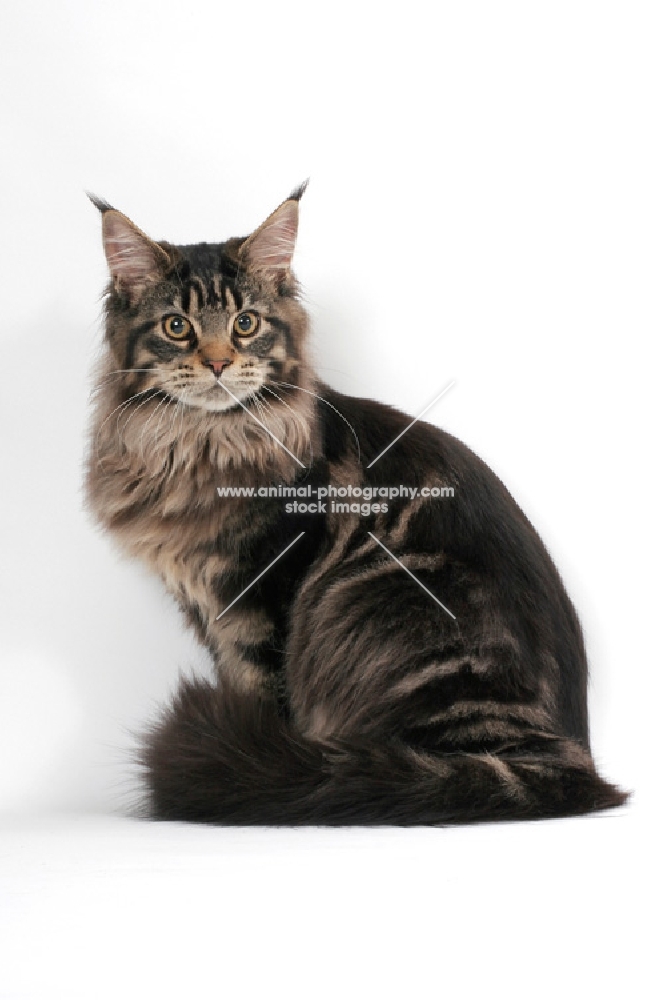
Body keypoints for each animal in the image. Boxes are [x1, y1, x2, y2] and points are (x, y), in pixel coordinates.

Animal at [85, 184, 624, 824]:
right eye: (177, 327)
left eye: (245, 323)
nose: (217, 363)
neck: (197, 446)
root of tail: (572, 766)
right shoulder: (208, 608)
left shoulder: (261, 598)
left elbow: (266, 697)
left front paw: (252, 759)